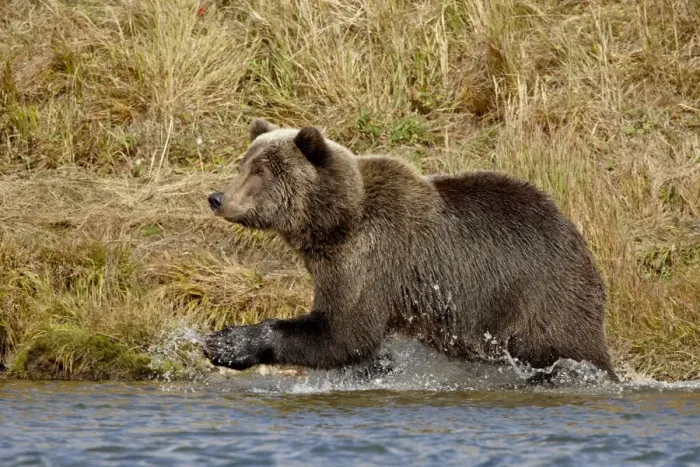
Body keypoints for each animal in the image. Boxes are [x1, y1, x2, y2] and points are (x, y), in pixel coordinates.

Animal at [202, 117, 619, 383]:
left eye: (261, 172)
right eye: (243, 164)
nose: (217, 197)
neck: (334, 223)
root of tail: (578, 239)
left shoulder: (372, 259)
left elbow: (344, 333)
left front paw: (227, 342)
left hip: (540, 295)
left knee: (562, 350)